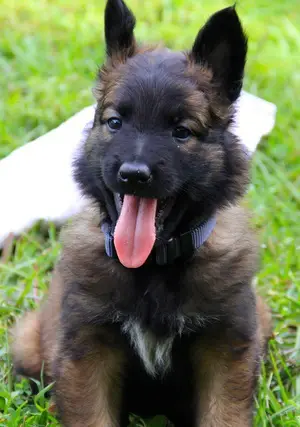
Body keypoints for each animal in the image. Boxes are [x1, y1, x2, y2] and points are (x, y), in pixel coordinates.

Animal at [11, 0, 272, 427]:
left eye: (181, 131)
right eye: (115, 122)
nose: (133, 174)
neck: (153, 267)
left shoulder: (226, 343)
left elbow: (224, 412)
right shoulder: (88, 347)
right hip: (29, 341)